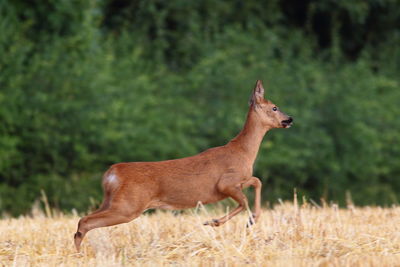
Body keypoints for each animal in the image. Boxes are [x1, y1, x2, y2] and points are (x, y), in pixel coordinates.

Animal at [74, 80, 294, 252]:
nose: (290, 119)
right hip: (128, 206)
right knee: (84, 222)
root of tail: (111, 174)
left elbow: (256, 182)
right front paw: (220, 222)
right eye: (275, 107)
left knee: (84, 220)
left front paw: (249, 220)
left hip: (111, 201)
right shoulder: (226, 183)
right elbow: (248, 196)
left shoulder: (236, 183)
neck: (243, 152)